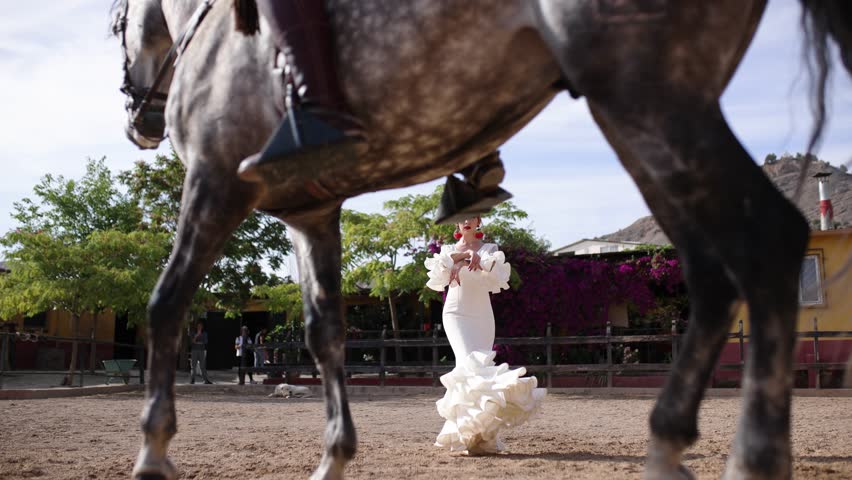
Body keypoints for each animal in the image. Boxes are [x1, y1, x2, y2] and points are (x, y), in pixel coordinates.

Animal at [111, 0, 852, 479]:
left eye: (117, 25)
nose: (139, 120)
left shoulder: (213, 180)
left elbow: (165, 304)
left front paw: (153, 451)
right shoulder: (311, 213)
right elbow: (326, 334)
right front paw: (334, 458)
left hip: (645, 95)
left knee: (763, 243)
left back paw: (747, 459)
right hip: (644, 111)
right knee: (712, 272)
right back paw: (666, 448)